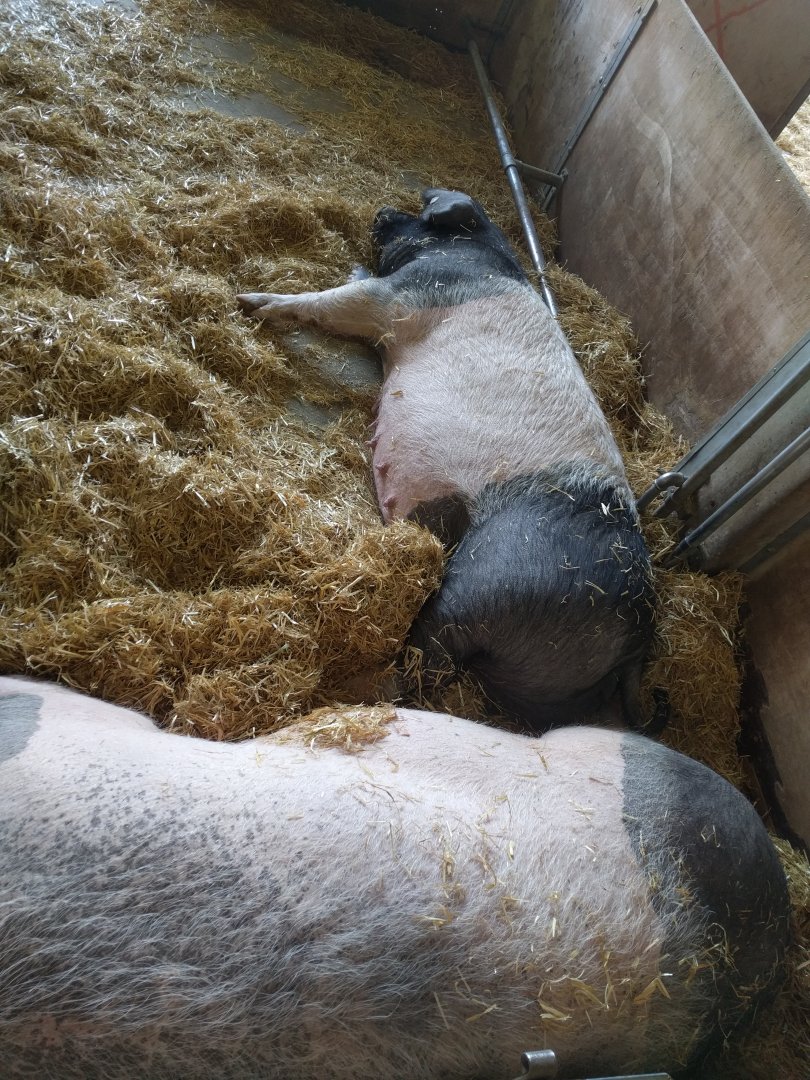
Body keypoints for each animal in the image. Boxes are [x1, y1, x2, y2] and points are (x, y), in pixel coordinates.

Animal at [237, 189, 656, 729]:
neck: (477, 251)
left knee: (424, 663)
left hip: (490, 583)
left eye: (424, 214)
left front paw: (248, 301)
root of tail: (633, 644)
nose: (382, 212)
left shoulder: (400, 296)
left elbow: (335, 300)